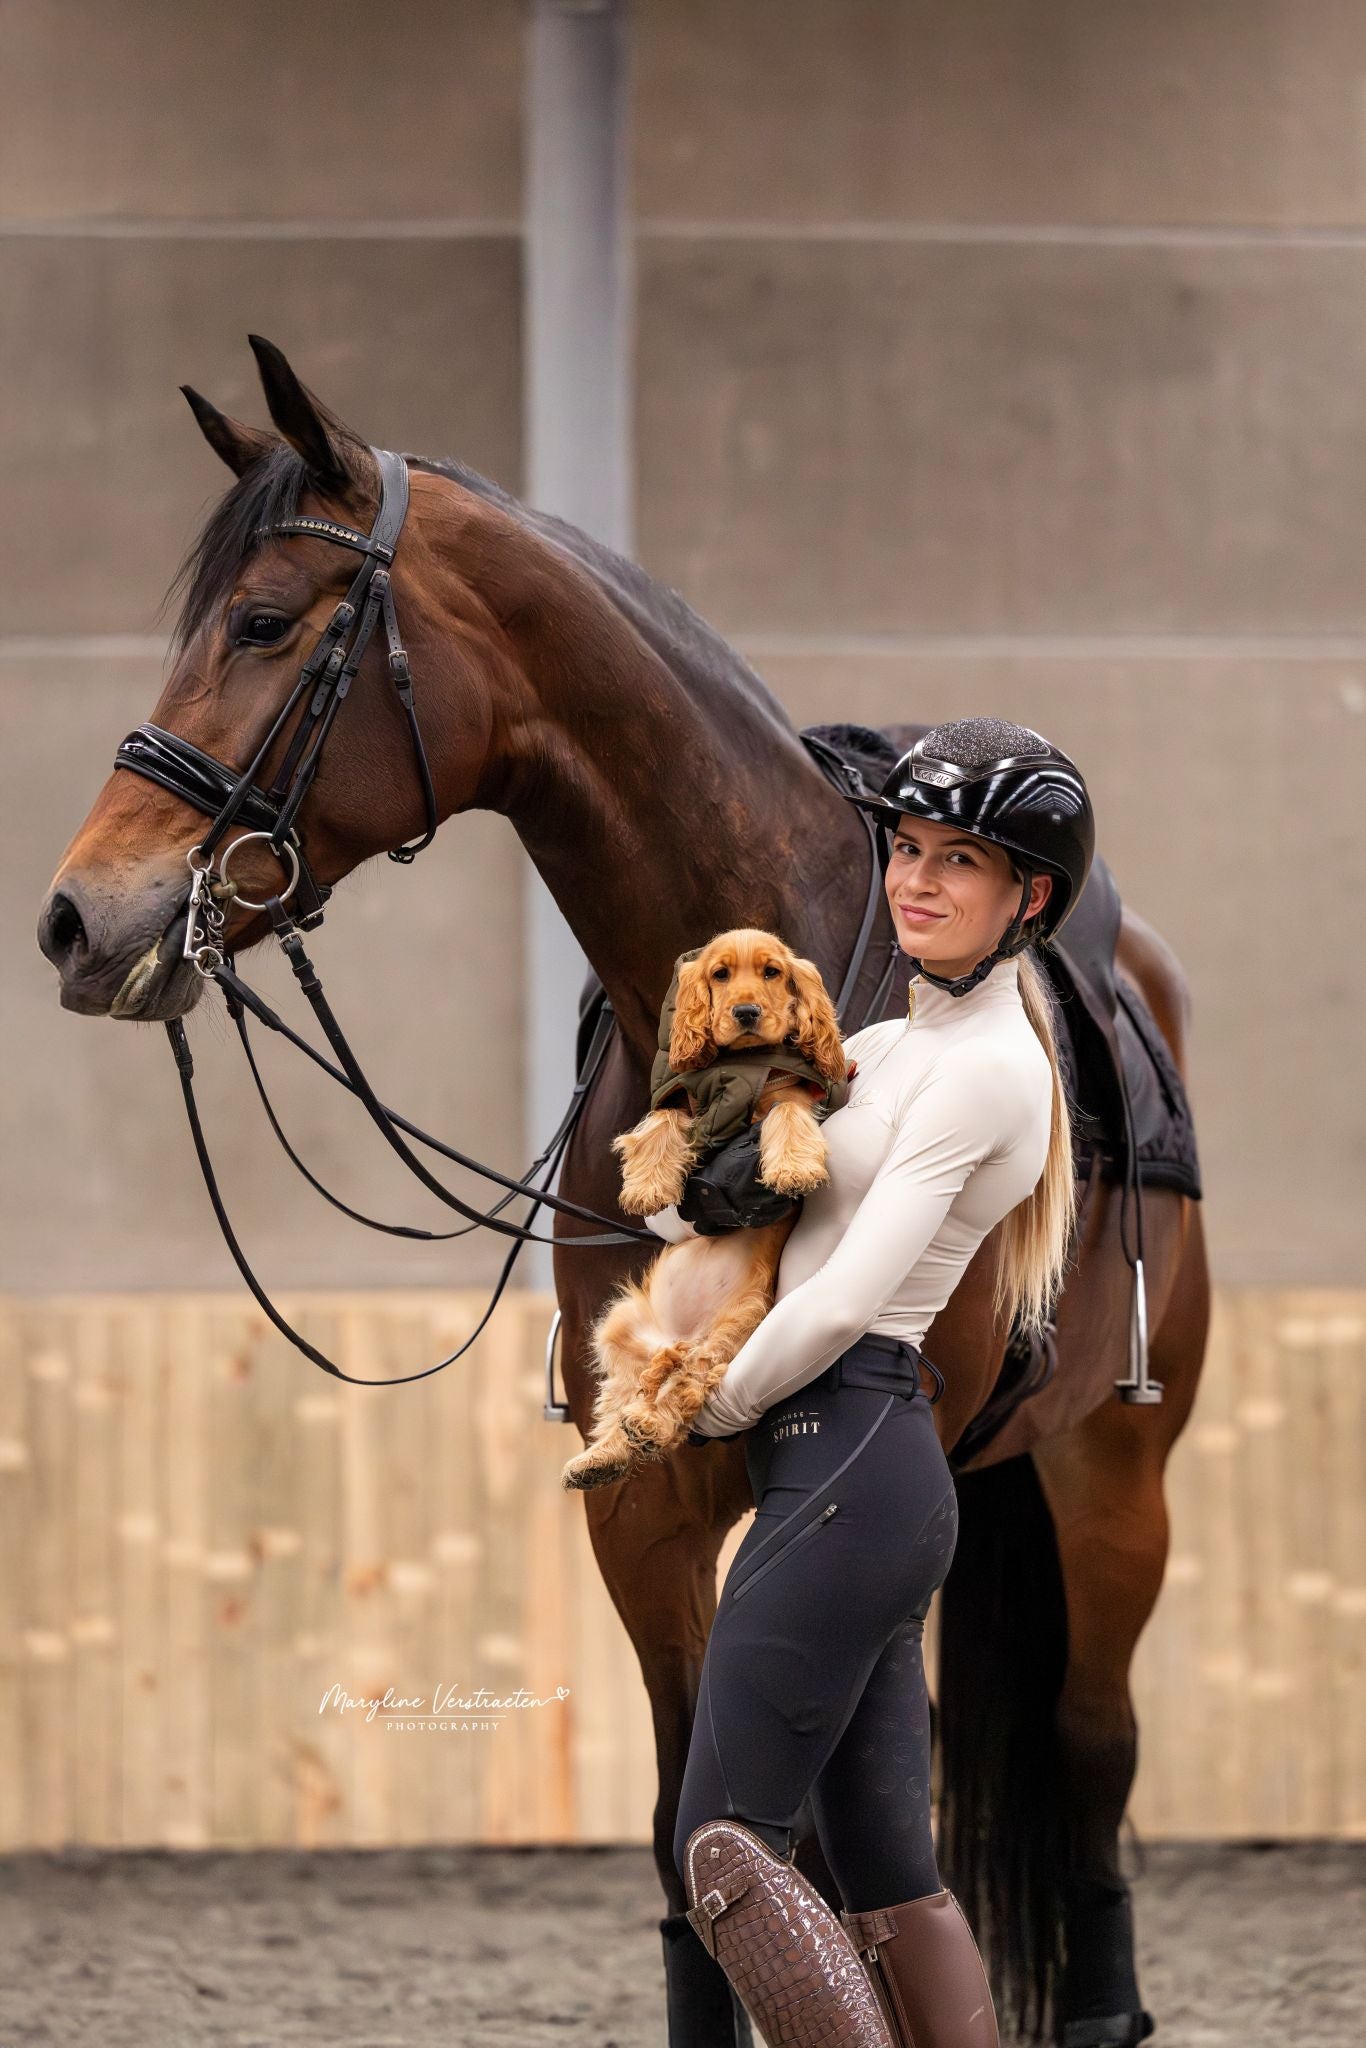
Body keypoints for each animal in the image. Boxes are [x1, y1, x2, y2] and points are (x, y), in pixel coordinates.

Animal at [37, 337, 1210, 2048]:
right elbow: (691, 1848)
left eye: (260, 624)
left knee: (1087, 1753)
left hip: (1115, 1474)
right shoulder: (641, 1516)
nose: (76, 918)